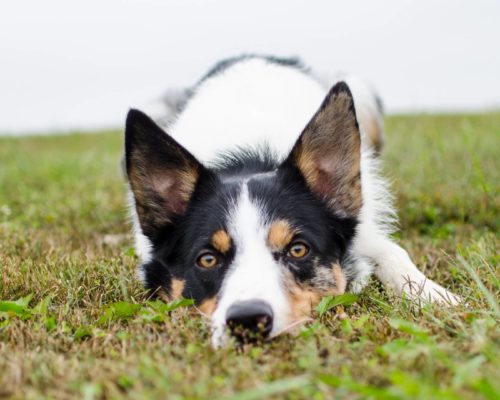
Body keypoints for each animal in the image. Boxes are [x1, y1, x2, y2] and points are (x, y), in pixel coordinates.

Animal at [125, 54, 460, 346]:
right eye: (207, 259)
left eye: (298, 249)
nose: (248, 321)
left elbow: (393, 252)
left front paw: (434, 296)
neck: (249, 159)